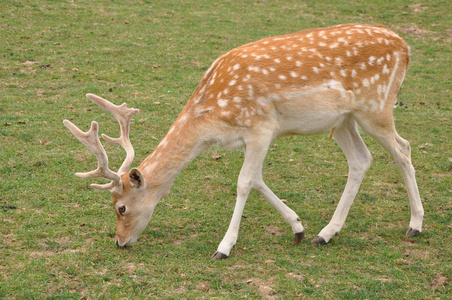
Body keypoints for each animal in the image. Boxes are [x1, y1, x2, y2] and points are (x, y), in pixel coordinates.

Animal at [63, 23, 424, 258]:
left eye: (121, 207)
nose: (119, 242)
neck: (212, 122)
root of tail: (405, 48)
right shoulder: (250, 139)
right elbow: (259, 179)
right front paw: (297, 228)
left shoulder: (262, 127)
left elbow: (244, 182)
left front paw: (224, 247)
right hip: (344, 119)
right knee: (361, 160)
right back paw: (325, 234)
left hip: (375, 106)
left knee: (403, 148)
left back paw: (415, 225)